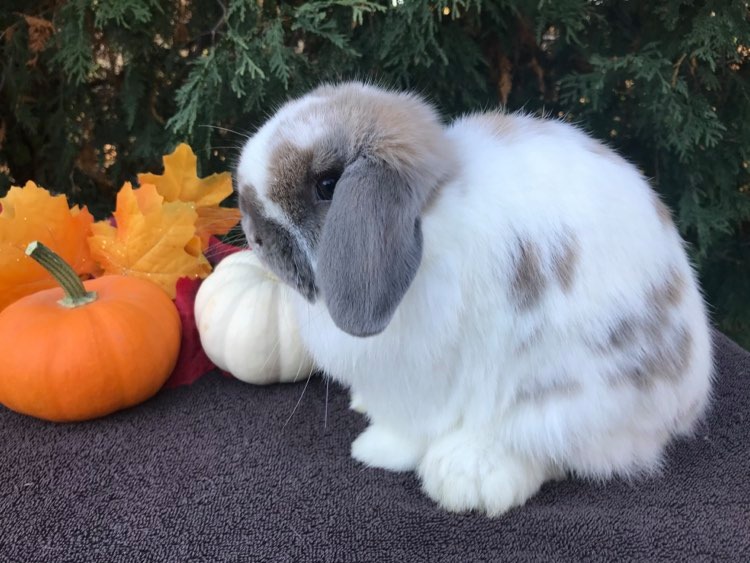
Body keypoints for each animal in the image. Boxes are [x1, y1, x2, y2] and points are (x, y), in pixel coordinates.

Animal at [234, 81, 713, 516]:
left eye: (327, 184)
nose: (254, 235)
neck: (431, 216)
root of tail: (685, 404)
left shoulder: (417, 381)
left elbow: (408, 428)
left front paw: (374, 450)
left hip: (563, 398)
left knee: (550, 450)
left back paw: (466, 476)